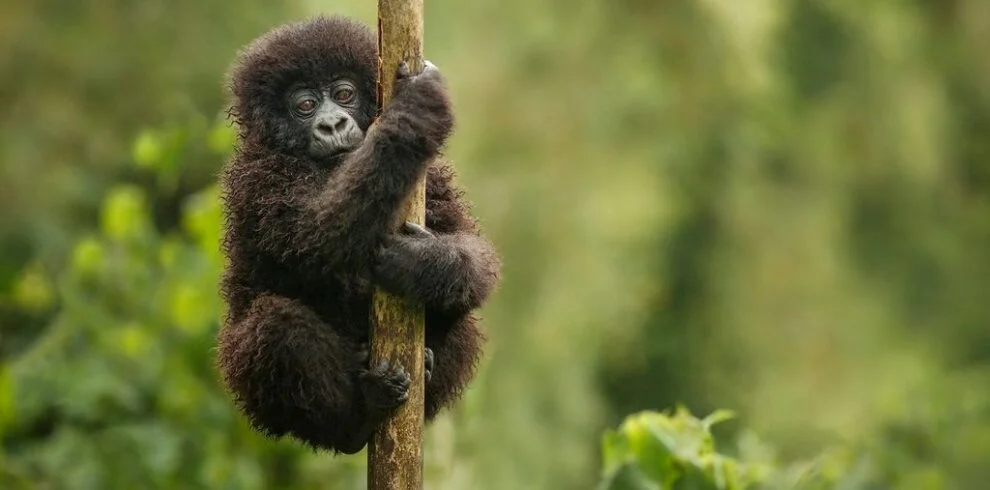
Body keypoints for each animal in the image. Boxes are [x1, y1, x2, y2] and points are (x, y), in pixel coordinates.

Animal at [214, 15, 500, 454]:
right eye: (305, 105)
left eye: (344, 94)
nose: (332, 123)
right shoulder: (257, 179)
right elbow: (317, 236)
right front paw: (414, 112)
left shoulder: (432, 176)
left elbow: (473, 251)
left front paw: (422, 264)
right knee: (275, 325)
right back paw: (357, 419)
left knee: (465, 315)